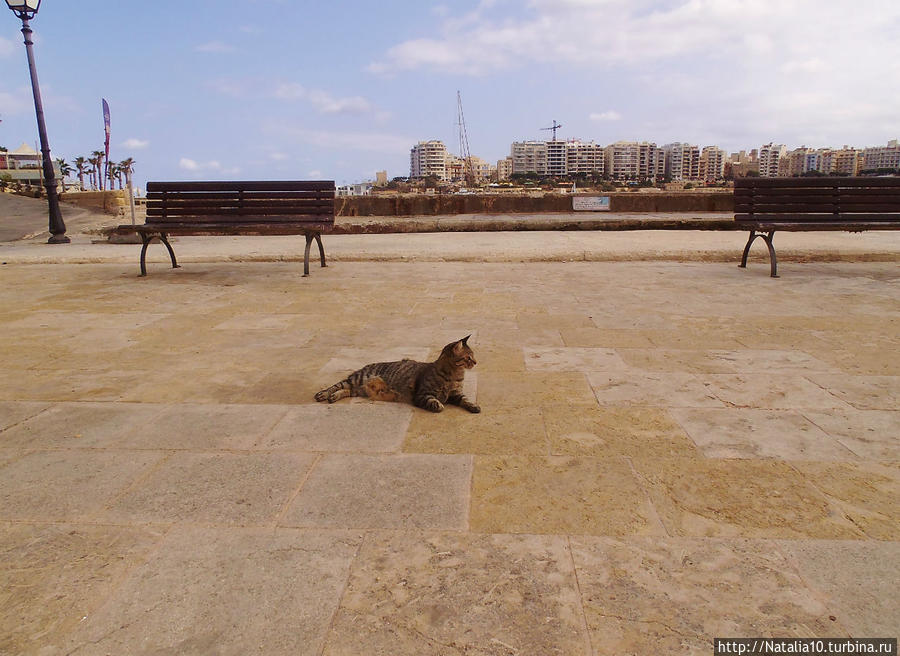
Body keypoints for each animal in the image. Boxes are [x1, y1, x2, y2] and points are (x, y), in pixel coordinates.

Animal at [314, 336, 482, 412]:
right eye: (468, 357)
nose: (476, 362)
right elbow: (433, 401)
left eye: (473, 356)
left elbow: (466, 400)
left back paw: (333, 397)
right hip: (357, 379)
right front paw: (438, 405)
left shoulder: (456, 394)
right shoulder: (422, 394)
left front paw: (474, 406)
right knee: (337, 385)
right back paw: (323, 394)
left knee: (347, 390)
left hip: (359, 389)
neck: (455, 376)